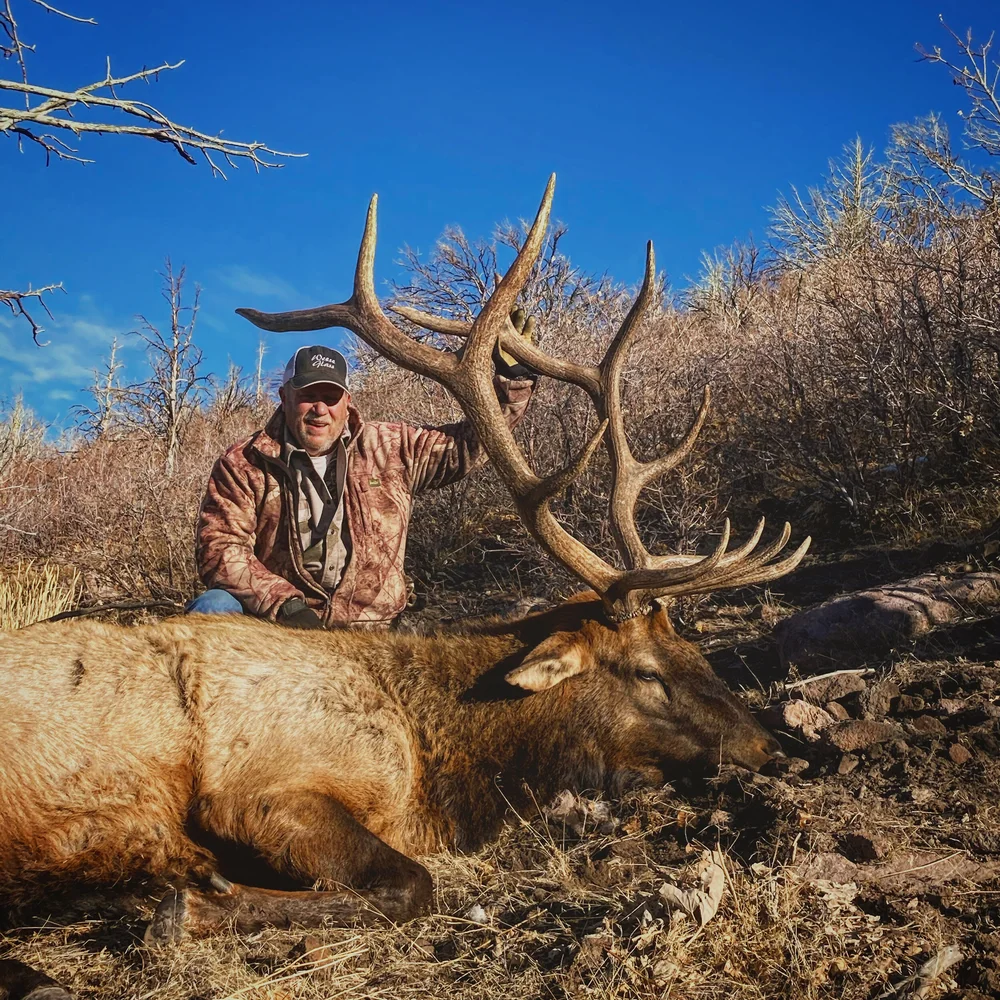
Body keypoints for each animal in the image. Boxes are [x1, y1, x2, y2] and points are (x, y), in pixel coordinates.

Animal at [0, 177, 808, 1000]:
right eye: (646, 672)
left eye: (697, 652)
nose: (777, 751)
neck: (437, 761)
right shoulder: (261, 786)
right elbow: (410, 884)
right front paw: (186, 906)